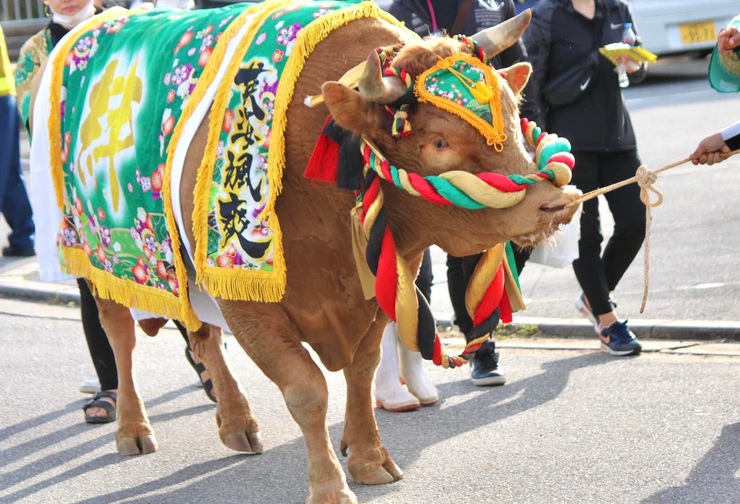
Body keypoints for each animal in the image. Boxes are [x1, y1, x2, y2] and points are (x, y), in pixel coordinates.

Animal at [33, 4, 580, 504]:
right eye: (439, 141)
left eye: (516, 117)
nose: (556, 201)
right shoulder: (246, 300)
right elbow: (307, 390)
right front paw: (330, 486)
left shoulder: (379, 284)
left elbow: (361, 370)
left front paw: (368, 457)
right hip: (97, 258)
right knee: (119, 336)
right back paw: (132, 428)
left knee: (201, 337)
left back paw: (235, 422)